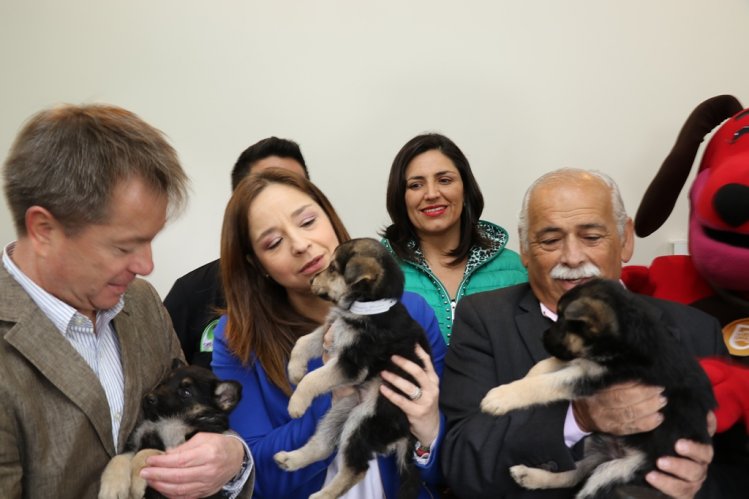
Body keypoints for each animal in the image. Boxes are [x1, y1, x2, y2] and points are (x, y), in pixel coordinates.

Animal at [98, 362, 241, 499]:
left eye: (186, 392)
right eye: (164, 383)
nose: (147, 397)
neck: (167, 419)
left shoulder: (182, 450)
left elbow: (145, 452)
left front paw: (137, 481)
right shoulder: (134, 443)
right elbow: (118, 458)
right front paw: (112, 487)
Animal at [272, 237, 430, 499]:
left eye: (332, 268)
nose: (310, 280)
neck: (369, 306)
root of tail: (406, 434)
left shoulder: (353, 363)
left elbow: (314, 378)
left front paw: (296, 403)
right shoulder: (333, 329)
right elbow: (303, 342)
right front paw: (295, 371)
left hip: (363, 421)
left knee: (356, 468)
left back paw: (321, 495)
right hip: (342, 410)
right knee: (324, 445)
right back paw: (291, 459)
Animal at [480, 280, 712, 498]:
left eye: (565, 321)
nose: (542, 338)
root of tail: (615, 453)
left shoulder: (597, 373)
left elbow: (547, 383)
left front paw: (501, 397)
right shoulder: (581, 361)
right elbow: (544, 365)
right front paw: (523, 378)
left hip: (620, 471)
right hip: (592, 444)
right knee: (572, 472)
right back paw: (528, 475)